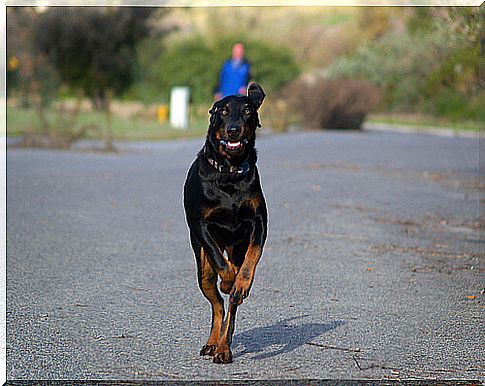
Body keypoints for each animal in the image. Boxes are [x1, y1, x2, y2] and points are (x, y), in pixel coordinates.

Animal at [182, 83, 266, 364]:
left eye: (248, 110)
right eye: (223, 111)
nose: (233, 129)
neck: (229, 170)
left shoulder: (259, 221)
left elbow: (252, 257)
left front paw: (239, 282)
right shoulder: (200, 224)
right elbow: (221, 263)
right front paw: (229, 280)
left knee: (229, 307)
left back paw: (223, 348)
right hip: (202, 269)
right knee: (216, 302)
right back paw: (212, 343)